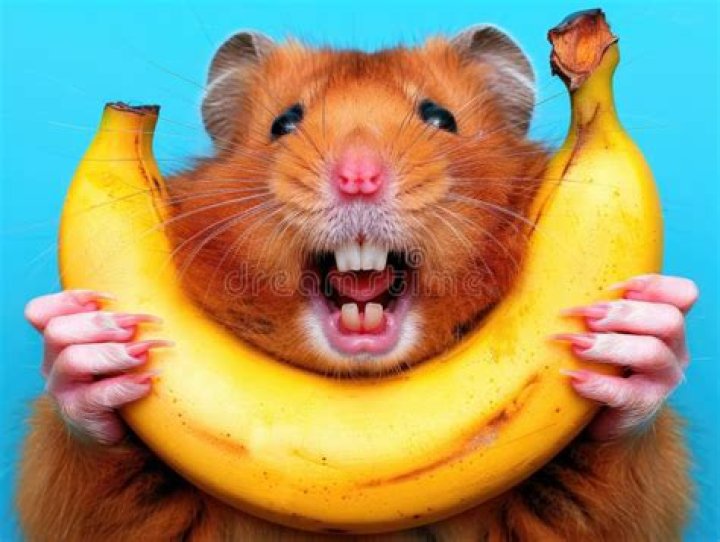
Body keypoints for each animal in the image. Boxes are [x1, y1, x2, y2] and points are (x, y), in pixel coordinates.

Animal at [17, 27, 692, 541]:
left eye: (440, 117)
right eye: (284, 123)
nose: (359, 178)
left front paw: (635, 332)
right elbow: (102, 480)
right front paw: (92, 339)